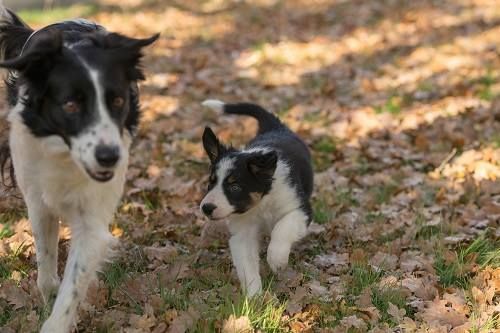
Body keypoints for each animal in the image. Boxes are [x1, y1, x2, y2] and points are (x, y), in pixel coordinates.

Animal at [0, 6, 158, 330]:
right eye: (71, 105)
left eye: (118, 101)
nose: (109, 157)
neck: (65, 154)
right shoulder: (38, 202)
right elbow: (47, 266)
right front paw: (47, 296)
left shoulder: (92, 220)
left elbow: (72, 287)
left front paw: (56, 322)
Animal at [199, 99, 312, 296]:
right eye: (210, 183)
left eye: (235, 187)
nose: (206, 208)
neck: (261, 204)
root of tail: (275, 126)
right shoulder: (242, 233)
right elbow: (247, 266)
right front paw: (254, 298)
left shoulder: (300, 209)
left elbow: (283, 227)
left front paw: (276, 260)